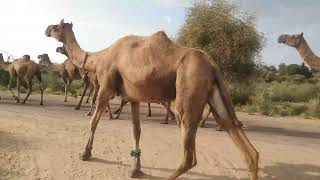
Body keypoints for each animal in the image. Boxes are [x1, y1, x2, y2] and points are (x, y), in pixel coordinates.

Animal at [45, 19, 260, 180]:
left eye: (56, 26)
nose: (46, 29)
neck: (99, 58)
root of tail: (213, 65)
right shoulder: (133, 97)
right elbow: (136, 131)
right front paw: (135, 169)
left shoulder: (105, 88)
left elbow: (93, 121)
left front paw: (86, 153)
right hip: (215, 93)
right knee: (243, 142)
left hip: (189, 88)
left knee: (189, 155)